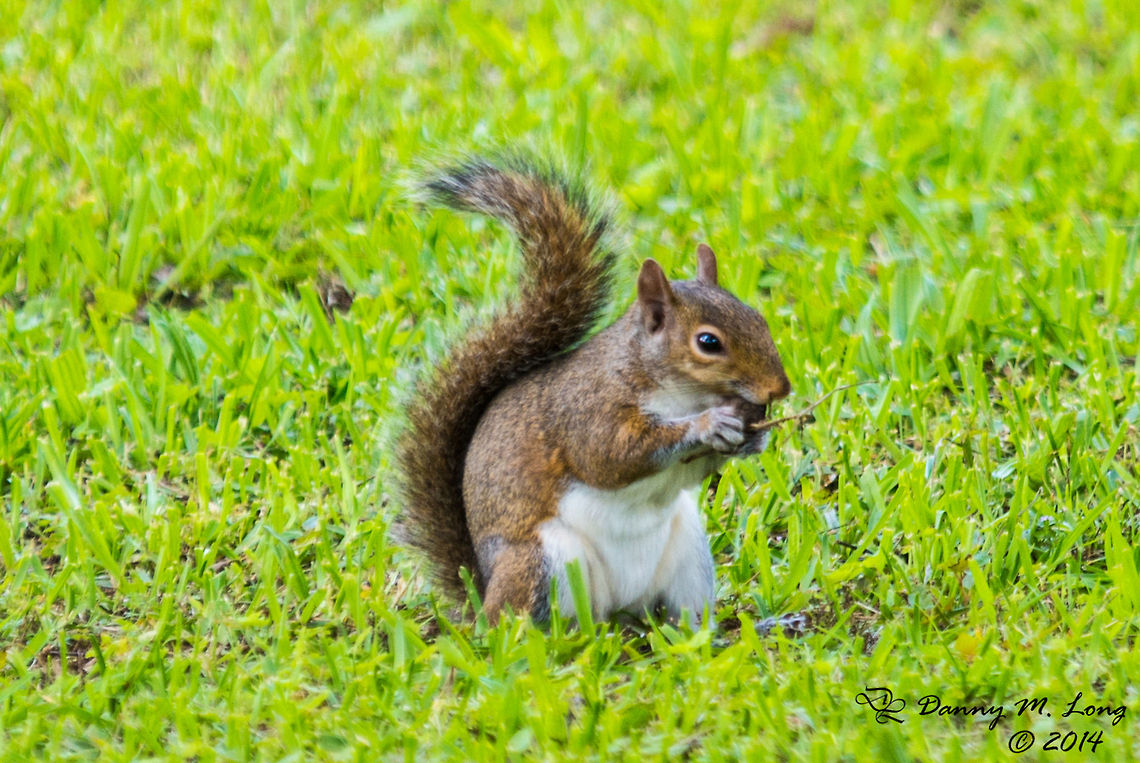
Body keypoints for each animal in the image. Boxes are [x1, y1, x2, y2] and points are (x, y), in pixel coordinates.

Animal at [397, 154, 791, 626]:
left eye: (758, 317)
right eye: (708, 342)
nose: (780, 389)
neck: (676, 392)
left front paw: (755, 437)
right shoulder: (587, 410)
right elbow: (611, 455)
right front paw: (707, 425)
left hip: (689, 556)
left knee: (685, 621)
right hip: (540, 563)